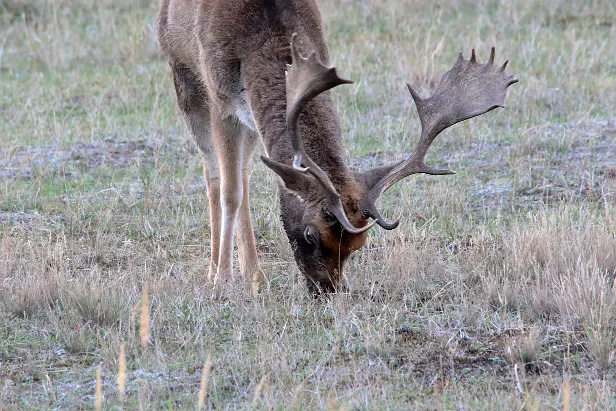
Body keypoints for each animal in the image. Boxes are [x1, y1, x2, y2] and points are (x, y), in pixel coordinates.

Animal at [154, 0, 516, 296]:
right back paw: (216, 272)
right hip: (184, 78)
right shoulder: (221, 99)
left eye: (358, 245)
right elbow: (230, 192)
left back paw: (255, 277)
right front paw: (221, 284)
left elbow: (244, 184)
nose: (328, 290)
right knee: (215, 174)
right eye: (311, 235)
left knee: (242, 173)